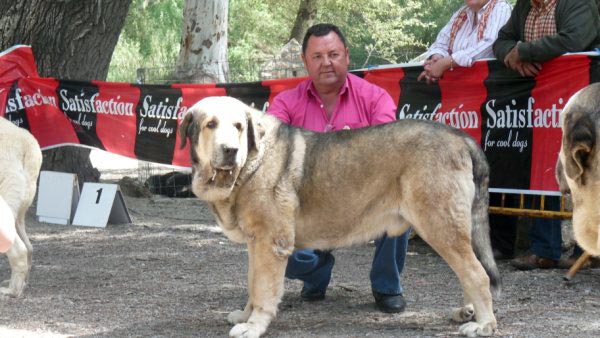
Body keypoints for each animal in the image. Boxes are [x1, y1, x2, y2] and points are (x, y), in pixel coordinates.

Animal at [179, 96, 502, 336]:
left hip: (439, 226)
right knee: (470, 272)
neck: (249, 163)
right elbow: (252, 283)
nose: (230, 150)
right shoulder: (255, 244)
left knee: (477, 274)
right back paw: (468, 312)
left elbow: (264, 288)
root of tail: (461, 137)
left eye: (237, 126)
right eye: (210, 125)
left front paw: (255, 325)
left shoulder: (271, 244)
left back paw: (484, 324)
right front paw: (246, 315)